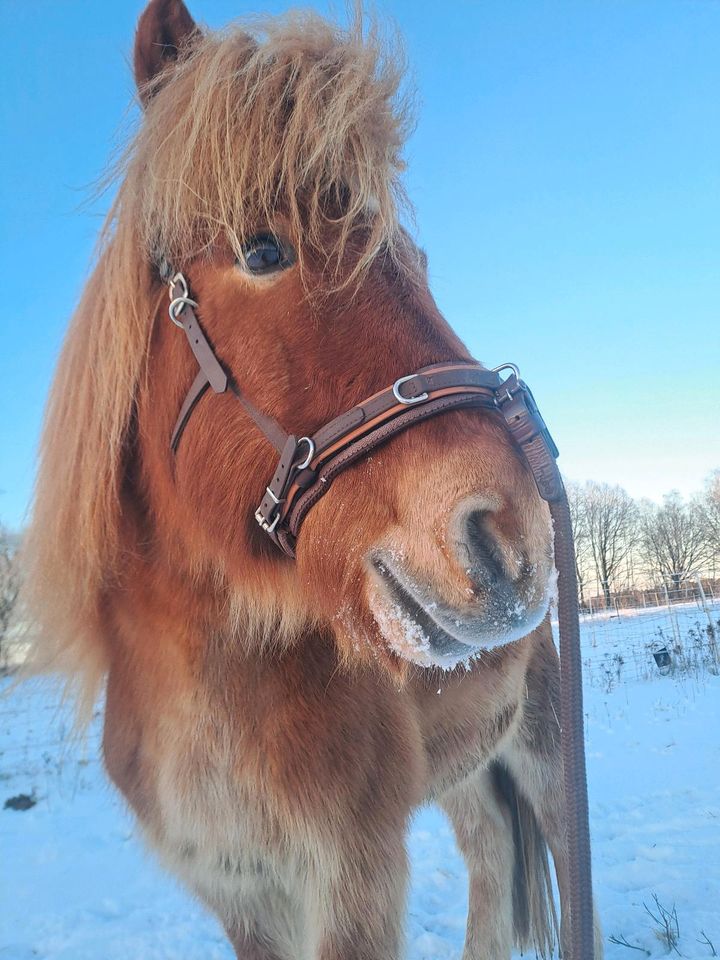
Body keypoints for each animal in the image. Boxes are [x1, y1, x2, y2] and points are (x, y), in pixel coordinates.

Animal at [22, 0, 600, 956]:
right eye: (263, 250)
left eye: (415, 263)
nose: (514, 535)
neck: (208, 685)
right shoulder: (242, 896)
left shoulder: (354, 874)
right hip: (465, 776)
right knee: (489, 865)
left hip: (550, 757)